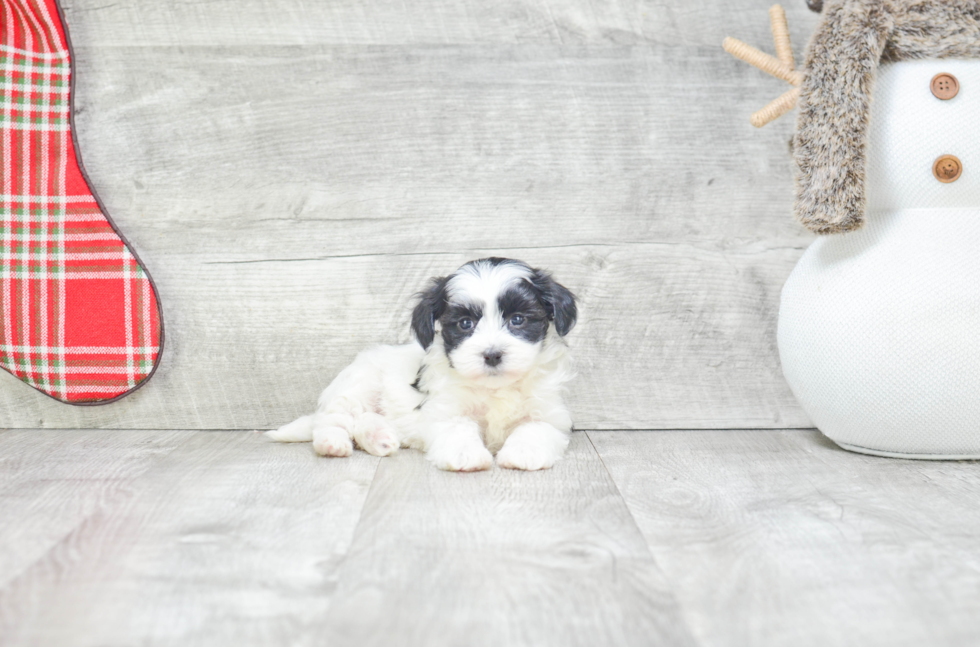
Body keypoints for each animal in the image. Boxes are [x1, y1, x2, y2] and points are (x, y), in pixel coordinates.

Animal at [264, 256, 580, 474]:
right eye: (465, 324)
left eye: (518, 320)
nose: (492, 355)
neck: (494, 389)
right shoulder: (447, 410)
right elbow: (458, 427)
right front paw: (465, 456)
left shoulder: (548, 411)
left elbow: (536, 427)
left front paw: (525, 454)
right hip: (356, 386)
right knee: (335, 420)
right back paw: (333, 443)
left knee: (364, 420)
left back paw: (380, 438)